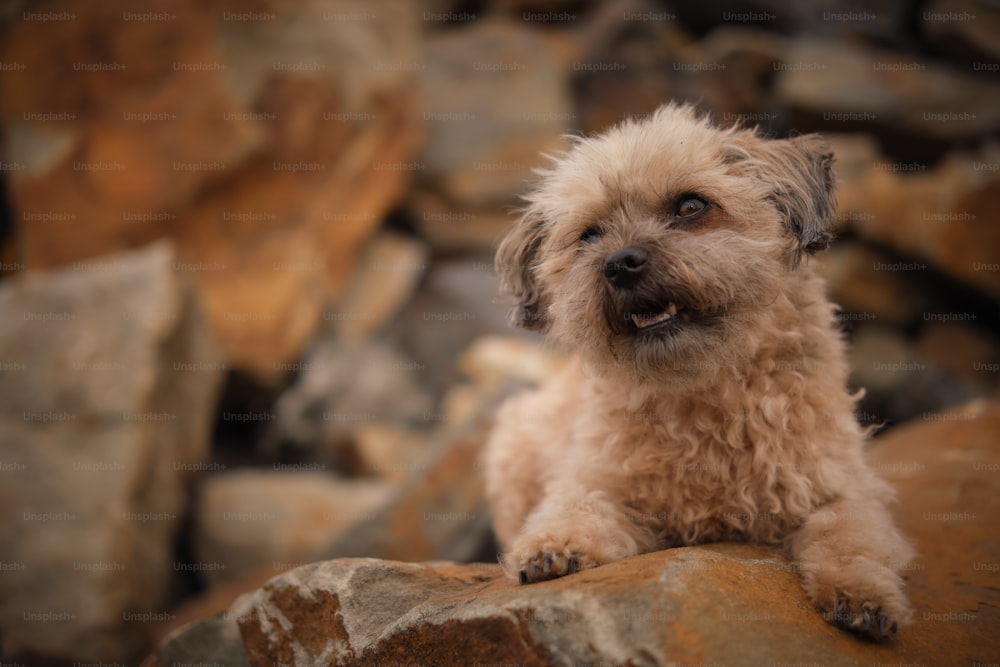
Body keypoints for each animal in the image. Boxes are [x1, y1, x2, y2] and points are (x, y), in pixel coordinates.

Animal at [484, 105, 916, 640]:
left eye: (691, 206)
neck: (702, 394)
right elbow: (577, 508)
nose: (620, 263)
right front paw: (551, 548)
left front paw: (865, 597)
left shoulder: (842, 486)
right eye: (588, 235)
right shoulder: (598, 480)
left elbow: (850, 537)